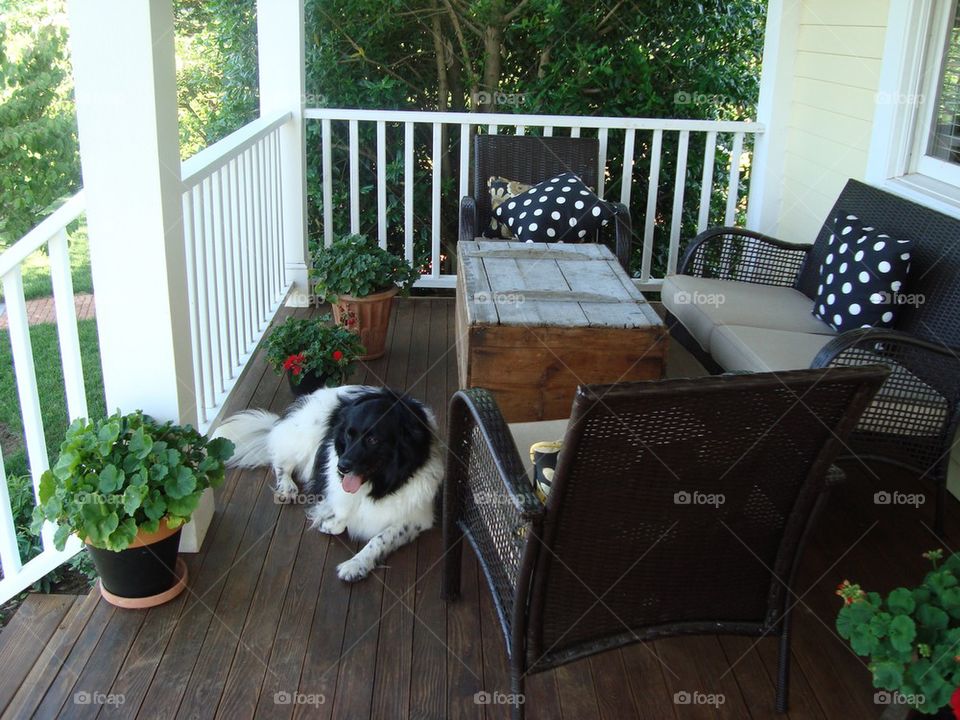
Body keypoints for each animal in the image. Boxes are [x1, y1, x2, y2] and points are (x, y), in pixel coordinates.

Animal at [214, 386, 442, 584]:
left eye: (373, 440)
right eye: (349, 434)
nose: (342, 467)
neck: (382, 483)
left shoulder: (417, 517)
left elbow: (380, 538)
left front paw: (355, 565)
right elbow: (343, 510)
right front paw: (329, 522)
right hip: (304, 438)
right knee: (281, 458)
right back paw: (286, 487)